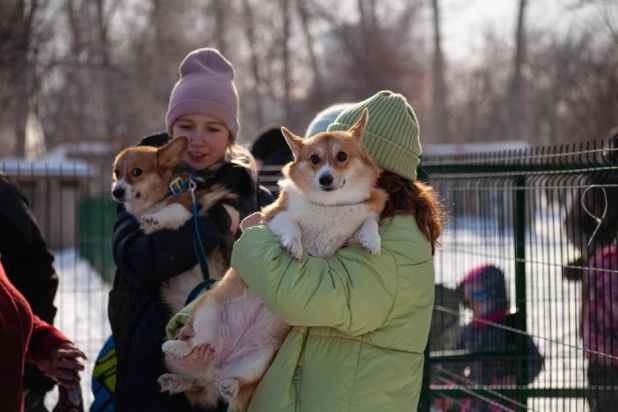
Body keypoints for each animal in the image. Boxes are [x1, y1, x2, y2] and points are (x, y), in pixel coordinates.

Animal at [110, 135, 236, 312]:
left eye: (136, 171)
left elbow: (172, 210)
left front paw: (152, 221)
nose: (116, 192)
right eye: (117, 172)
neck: (168, 189)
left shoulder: (191, 204)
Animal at [159, 108, 384, 410]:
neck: (329, 206)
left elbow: (368, 224)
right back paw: (176, 347)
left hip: (259, 358)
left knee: (227, 382)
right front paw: (294, 245)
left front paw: (373, 241)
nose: (325, 179)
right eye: (314, 159)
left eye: (341, 156)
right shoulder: (271, 217)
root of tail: (218, 362)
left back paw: (228, 385)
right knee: (192, 352)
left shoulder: (350, 232)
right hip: (206, 314)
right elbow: (291, 225)